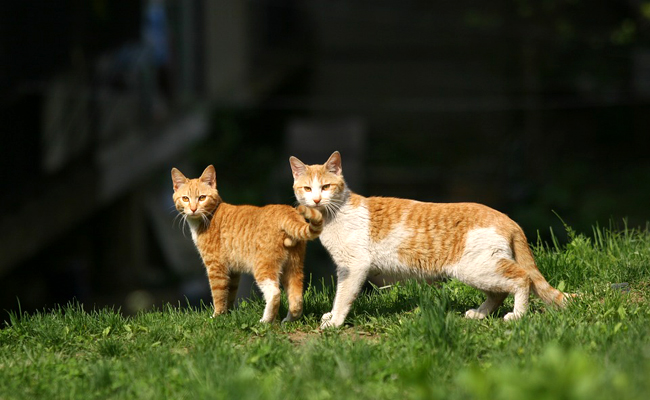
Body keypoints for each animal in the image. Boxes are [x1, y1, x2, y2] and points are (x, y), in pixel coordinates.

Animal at [172, 164, 322, 324]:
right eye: (185, 198)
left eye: (202, 198)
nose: (193, 209)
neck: (208, 217)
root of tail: (286, 211)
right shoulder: (233, 271)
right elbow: (230, 294)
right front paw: (227, 314)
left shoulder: (216, 267)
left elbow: (218, 295)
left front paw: (217, 317)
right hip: (294, 267)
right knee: (297, 299)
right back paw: (287, 321)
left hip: (263, 266)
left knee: (274, 292)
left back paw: (265, 321)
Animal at [288, 150, 568, 328]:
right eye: (307, 188)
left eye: (325, 187)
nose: (316, 199)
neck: (335, 212)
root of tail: (508, 218)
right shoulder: (345, 267)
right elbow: (340, 296)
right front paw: (331, 317)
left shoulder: (353, 267)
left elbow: (343, 296)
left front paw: (335, 321)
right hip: (477, 270)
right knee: (499, 292)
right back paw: (479, 314)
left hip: (476, 268)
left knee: (522, 278)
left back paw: (518, 315)